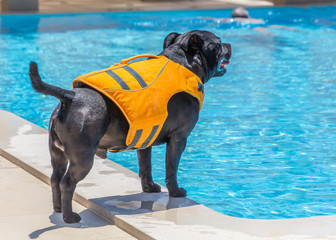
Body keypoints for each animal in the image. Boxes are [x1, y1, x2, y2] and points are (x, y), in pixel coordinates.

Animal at [28, 30, 231, 223]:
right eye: (218, 43)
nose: (229, 44)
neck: (183, 62)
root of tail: (71, 97)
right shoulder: (179, 139)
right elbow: (171, 169)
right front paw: (176, 192)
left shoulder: (145, 139)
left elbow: (145, 167)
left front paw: (149, 188)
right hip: (83, 158)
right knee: (67, 183)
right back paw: (69, 217)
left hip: (58, 155)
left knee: (55, 179)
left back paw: (58, 210)